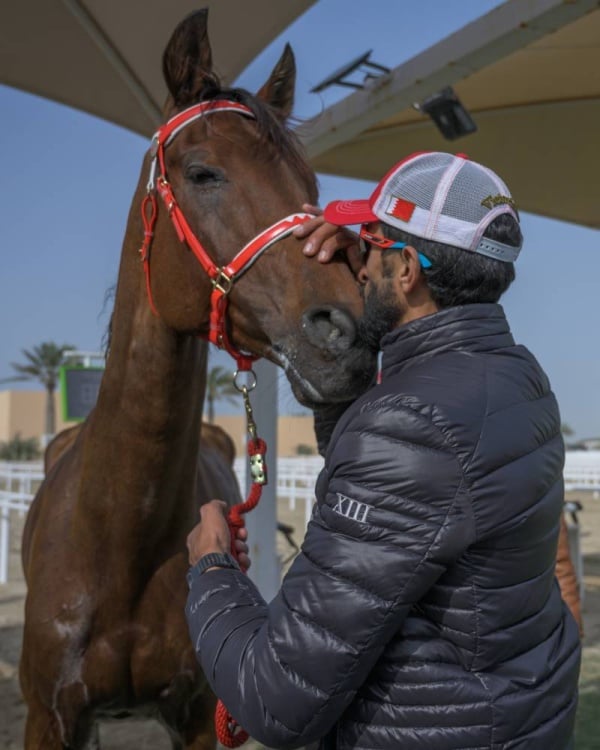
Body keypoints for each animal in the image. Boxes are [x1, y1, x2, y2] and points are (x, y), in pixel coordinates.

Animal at [18, 7, 376, 750]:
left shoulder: (201, 716)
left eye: (311, 187)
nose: (349, 333)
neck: (120, 541)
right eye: (203, 171)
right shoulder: (50, 718)